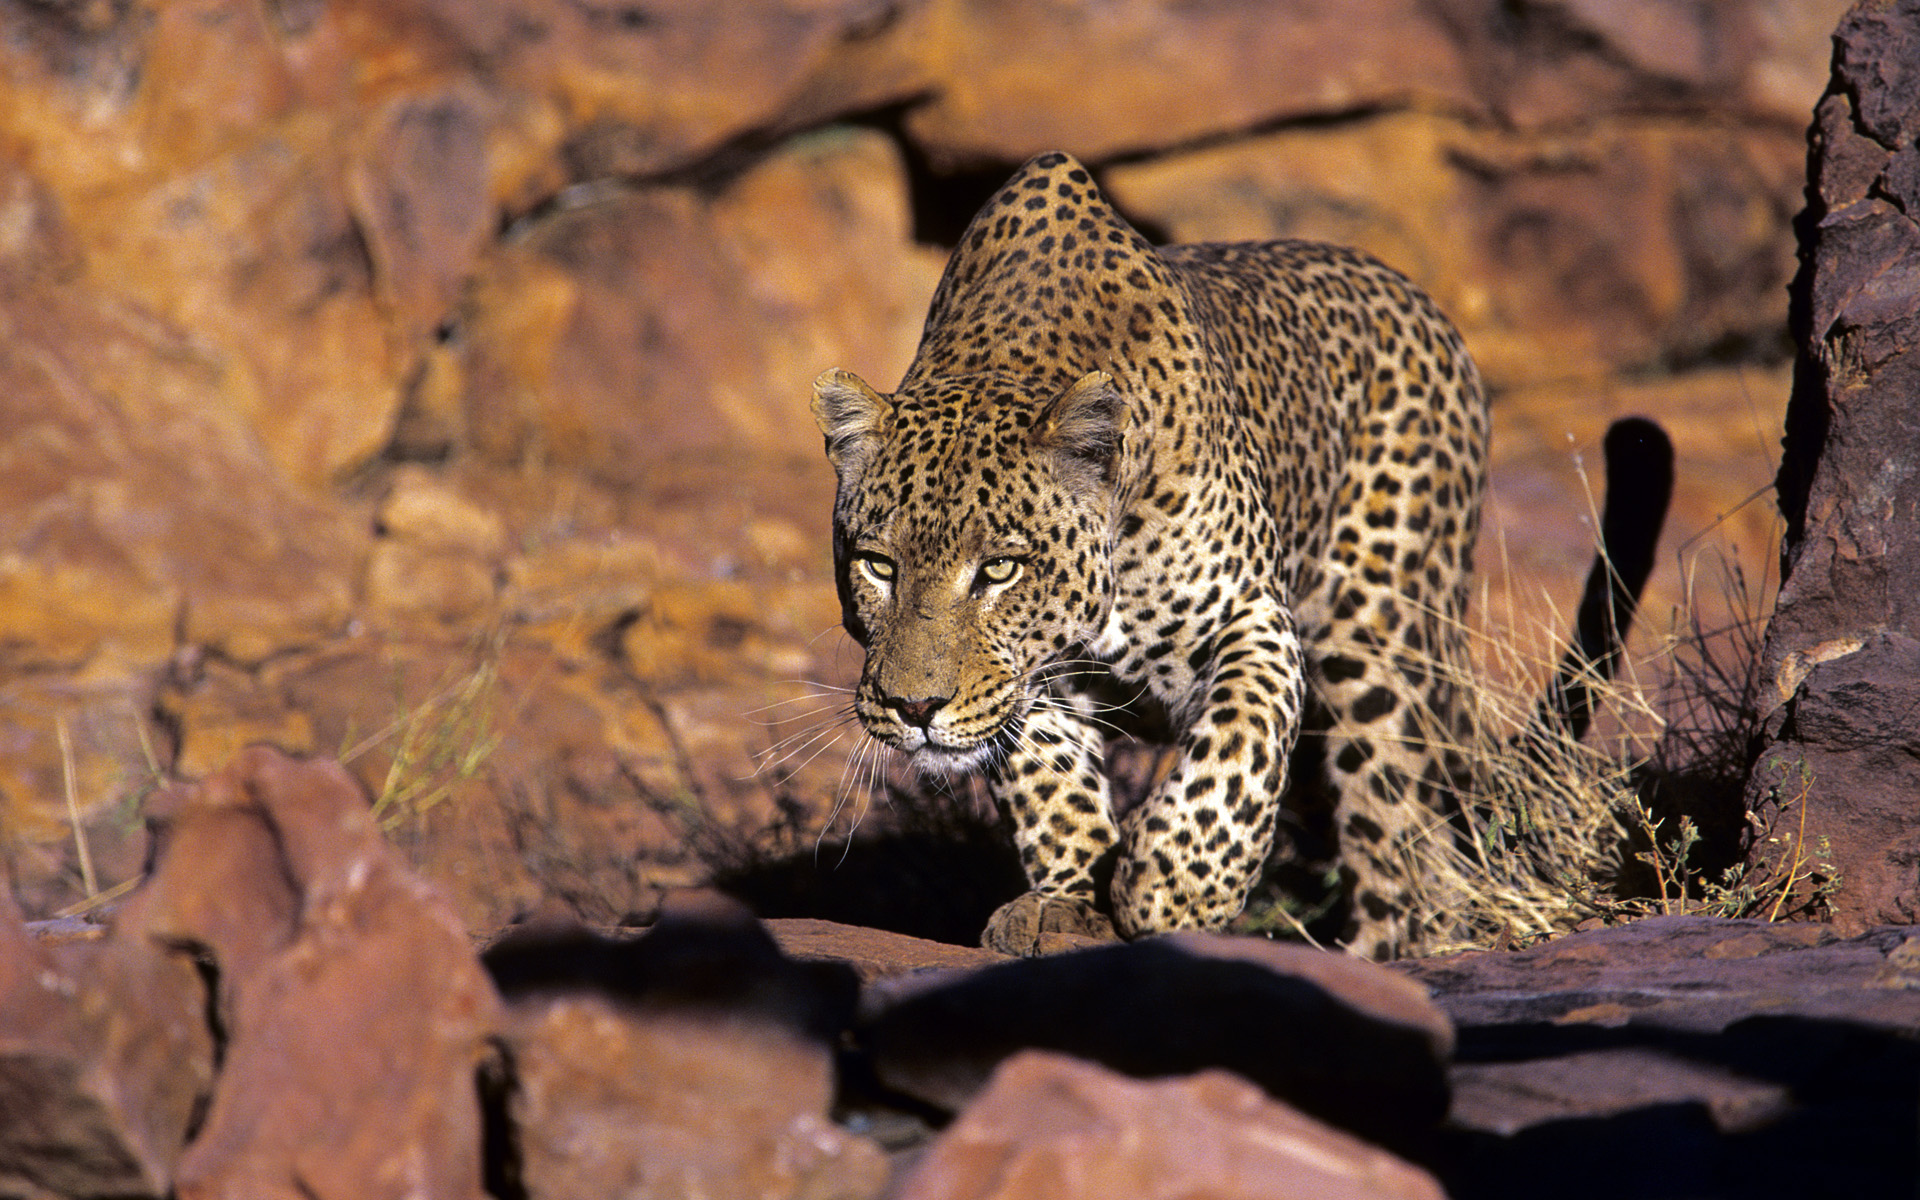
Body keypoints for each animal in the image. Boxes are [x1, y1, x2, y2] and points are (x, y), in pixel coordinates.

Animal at [810, 151, 1651, 956]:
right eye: (879, 565)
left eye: (999, 570)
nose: (914, 709)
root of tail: (1423, 306)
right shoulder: (1033, 677)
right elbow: (1050, 780)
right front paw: (1067, 901)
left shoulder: (1250, 619)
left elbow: (1238, 740)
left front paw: (1172, 887)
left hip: (1380, 633)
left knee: (1401, 834)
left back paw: (1372, 950)